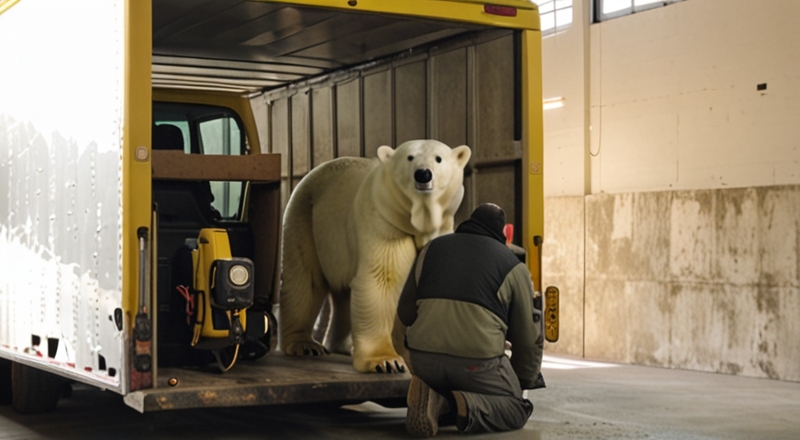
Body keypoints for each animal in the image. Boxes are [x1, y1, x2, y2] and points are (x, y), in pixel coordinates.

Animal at [280, 139, 468, 372]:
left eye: (438, 158)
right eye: (410, 157)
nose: (423, 174)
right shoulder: (385, 226)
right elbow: (382, 281)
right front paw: (387, 361)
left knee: (343, 292)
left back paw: (344, 345)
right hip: (306, 216)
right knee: (305, 279)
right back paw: (304, 344)